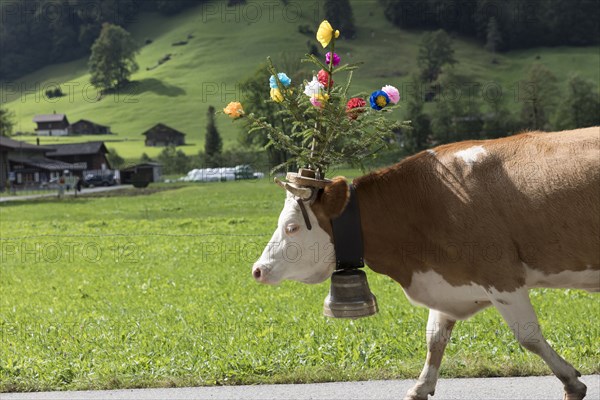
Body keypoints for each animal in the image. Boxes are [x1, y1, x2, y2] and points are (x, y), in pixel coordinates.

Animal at [251, 127, 596, 396]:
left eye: (292, 227)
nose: (258, 270)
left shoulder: (501, 275)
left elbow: (529, 336)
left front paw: (571, 382)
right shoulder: (448, 282)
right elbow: (434, 339)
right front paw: (420, 387)